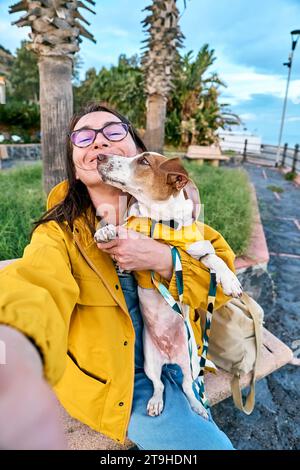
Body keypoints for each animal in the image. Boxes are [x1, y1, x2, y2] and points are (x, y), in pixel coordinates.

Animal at [95, 151, 243, 418]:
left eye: (143, 161)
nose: (100, 155)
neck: (160, 221)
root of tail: (171, 357)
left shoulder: (196, 248)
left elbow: (213, 258)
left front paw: (230, 280)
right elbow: (119, 232)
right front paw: (105, 231)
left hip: (192, 364)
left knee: (187, 387)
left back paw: (198, 407)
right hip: (150, 364)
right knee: (160, 385)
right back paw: (156, 402)